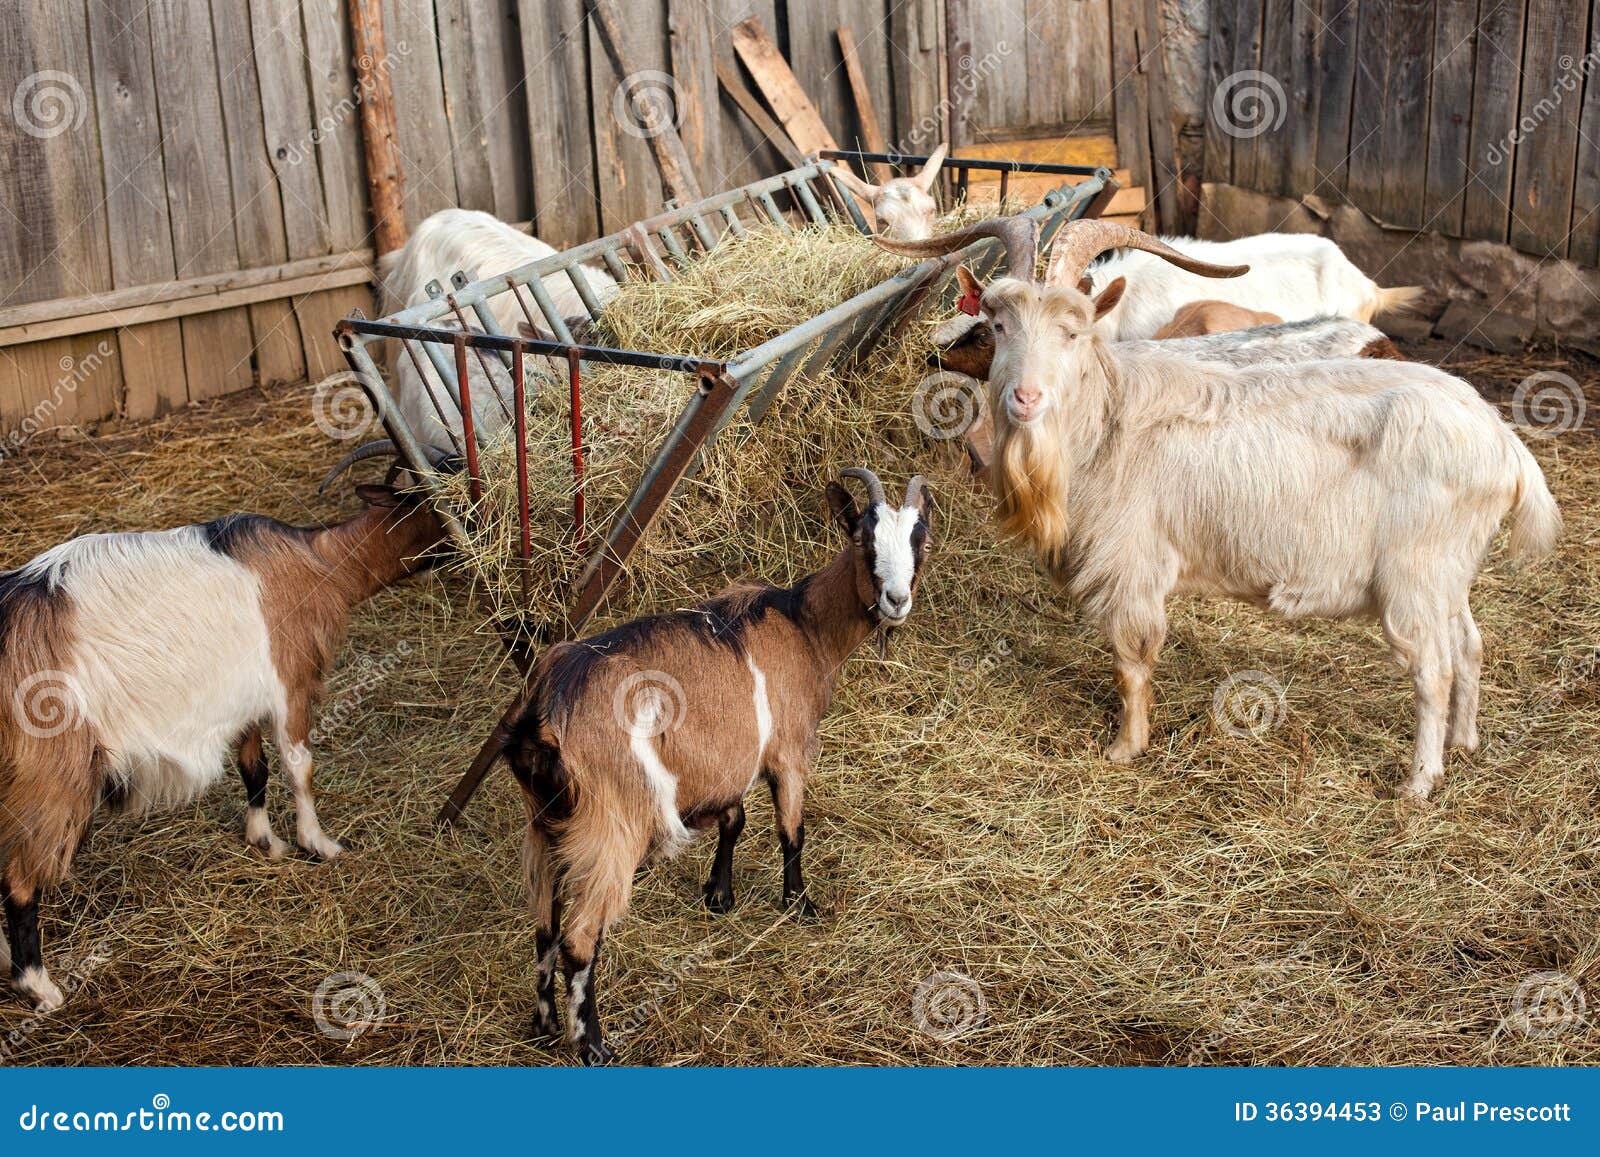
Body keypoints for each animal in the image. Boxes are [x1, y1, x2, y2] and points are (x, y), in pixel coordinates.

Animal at [0, 481, 449, 1012]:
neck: (317, 560)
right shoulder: (289, 684)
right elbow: (299, 767)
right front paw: (319, 844)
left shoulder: (242, 701)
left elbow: (255, 768)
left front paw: (265, 840)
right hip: (48, 777)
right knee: (19, 880)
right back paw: (39, 986)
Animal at [503, 469, 933, 1063]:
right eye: (864, 540)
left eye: (920, 541)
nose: (896, 600)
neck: (803, 625)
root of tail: (546, 715)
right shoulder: (788, 752)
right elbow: (791, 830)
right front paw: (799, 904)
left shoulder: (726, 761)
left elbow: (735, 820)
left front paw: (719, 895)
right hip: (611, 827)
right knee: (580, 937)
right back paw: (592, 1044)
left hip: (544, 823)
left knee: (543, 920)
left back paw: (544, 1022)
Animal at [889, 216, 1561, 801]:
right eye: (998, 324)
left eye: (1073, 331)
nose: (1026, 397)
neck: (1103, 422)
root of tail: (1503, 445)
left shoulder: (1132, 566)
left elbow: (1132, 660)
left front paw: (1124, 749)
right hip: (1450, 572)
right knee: (1470, 646)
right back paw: (1466, 743)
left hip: (1413, 576)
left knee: (1433, 670)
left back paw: (1419, 782)